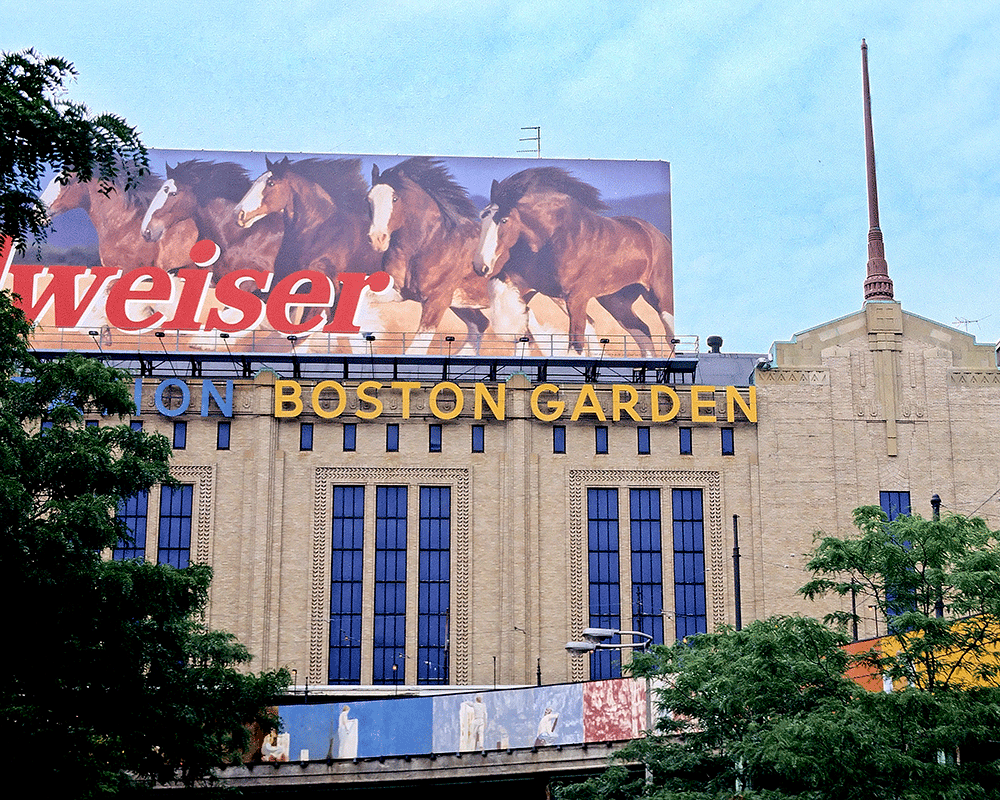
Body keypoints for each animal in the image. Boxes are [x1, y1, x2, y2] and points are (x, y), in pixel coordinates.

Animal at [368, 156, 492, 354]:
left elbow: (414, 350)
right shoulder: (398, 292)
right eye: (369, 199)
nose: (377, 239)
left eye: (395, 199)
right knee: (483, 324)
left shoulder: (436, 301)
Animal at [474, 166, 676, 356]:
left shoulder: (576, 298)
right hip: (616, 302)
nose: (480, 266)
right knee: (642, 330)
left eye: (504, 220)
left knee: (670, 334)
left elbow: (576, 343)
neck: (554, 237)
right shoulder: (531, 286)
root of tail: (658, 236)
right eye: (483, 216)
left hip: (661, 298)